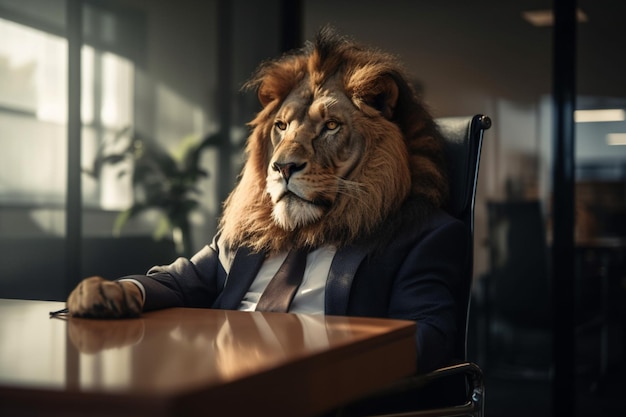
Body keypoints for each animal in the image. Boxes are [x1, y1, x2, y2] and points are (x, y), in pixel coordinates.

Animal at [67, 27, 464, 372]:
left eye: (331, 126)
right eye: (282, 126)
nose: (283, 166)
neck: (305, 232)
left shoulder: (425, 295)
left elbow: (423, 325)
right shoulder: (211, 257)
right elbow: (170, 276)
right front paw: (101, 292)